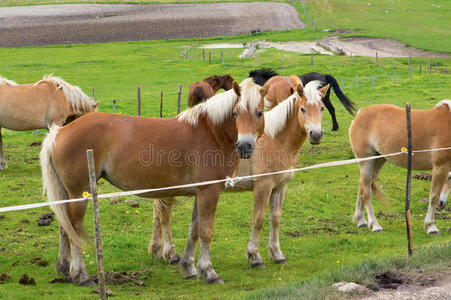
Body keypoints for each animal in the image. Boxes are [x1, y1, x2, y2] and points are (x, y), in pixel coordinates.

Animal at [40, 78, 266, 286]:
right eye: (236, 112)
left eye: (259, 113)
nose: (244, 146)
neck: (211, 131)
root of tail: (60, 131)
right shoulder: (209, 191)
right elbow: (205, 231)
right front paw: (209, 272)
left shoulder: (199, 192)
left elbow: (193, 230)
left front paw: (189, 267)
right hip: (80, 193)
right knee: (74, 227)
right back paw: (81, 275)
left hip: (68, 195)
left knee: (64, 226)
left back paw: (65, 269)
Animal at [150, 79, 330, 270]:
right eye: (302, 109)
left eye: (321, 108)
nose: (316, 135)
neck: (276, 138)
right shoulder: (263, 186)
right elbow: (258, 219)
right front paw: (255, 256)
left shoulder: (279, 188)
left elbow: (275, 219)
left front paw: (277, 254)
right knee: (164, 215)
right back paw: (171, 254)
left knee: (157, 212)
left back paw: (157, 251)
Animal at [350, 100, 451, 234]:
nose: (442, 203)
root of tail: (359, 115)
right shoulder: (440, 166)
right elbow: (433, 196)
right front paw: (431, 226)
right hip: (366, 162)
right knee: (366, 192)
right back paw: (375, 225)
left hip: (378, 161)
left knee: (361, 185)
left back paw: (360, 220)